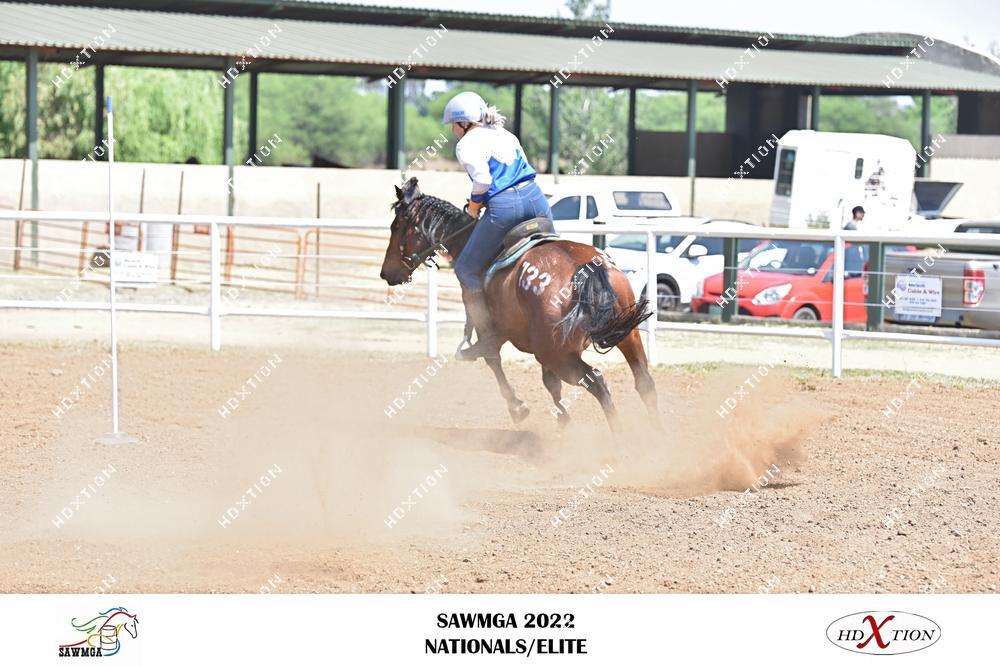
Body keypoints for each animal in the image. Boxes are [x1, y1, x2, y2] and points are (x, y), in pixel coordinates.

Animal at [379, 177, 661, 436]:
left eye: (396, 226)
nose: (386, 273)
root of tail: (586, 268)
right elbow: (550, 383)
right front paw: (562, 419)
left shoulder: (494, 333)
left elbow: (493, 360)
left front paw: (518, 408)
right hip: (626, 335)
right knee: (644, 382)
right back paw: (658, 437)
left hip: (559, 354)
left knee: (597, 382)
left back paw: (621, 440)